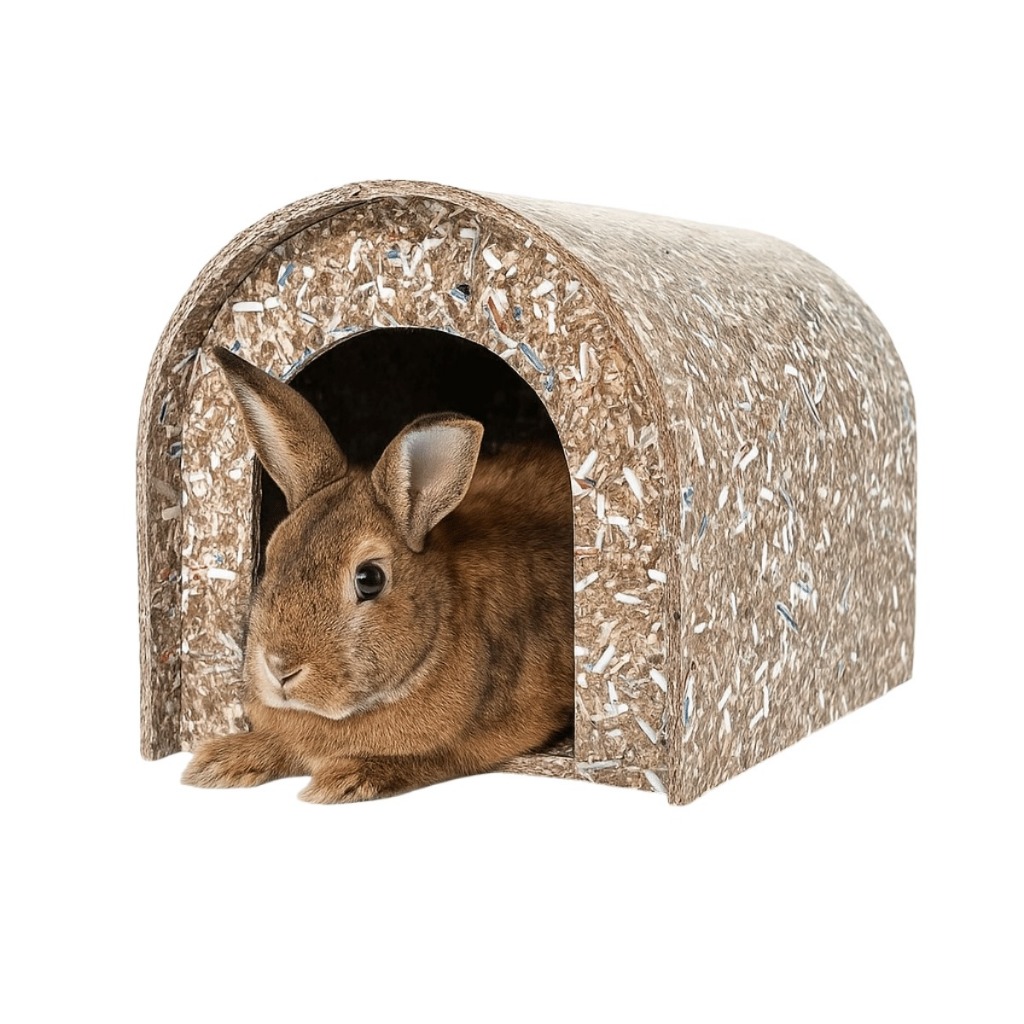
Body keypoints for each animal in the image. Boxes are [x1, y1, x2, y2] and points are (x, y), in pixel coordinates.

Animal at [182, 346, 574, 802]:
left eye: (369, 579)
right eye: (271, 554)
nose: (280, 669)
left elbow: (432, 759)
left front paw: (344, 780)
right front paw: (221, 762)